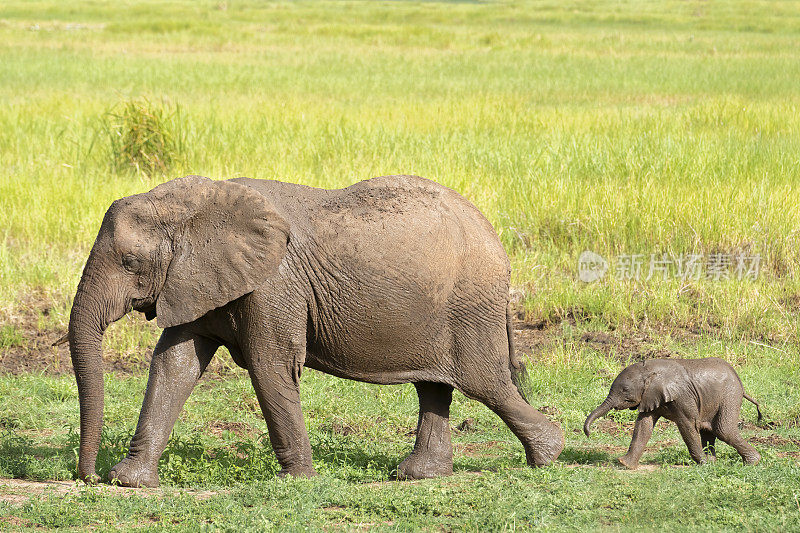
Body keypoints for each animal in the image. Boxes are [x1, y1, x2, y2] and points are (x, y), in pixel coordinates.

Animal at [69, 175, 564, 486]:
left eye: (130, 262)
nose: (87, 477)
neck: (199, 201)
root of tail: (496, 237)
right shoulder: (197, 281)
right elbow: (174, 365)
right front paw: (129, 482)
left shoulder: (273, 285)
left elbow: (270, 366)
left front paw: (296, 481)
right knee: (435, 385)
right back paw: (418, 475)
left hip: (470, 305)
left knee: (485, 382)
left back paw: (549, 455)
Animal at [580, 356, 764, 468]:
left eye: (625, 390)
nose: (589, 434)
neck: (649, 370)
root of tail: (739, 380)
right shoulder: (651, 396)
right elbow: (643, 427)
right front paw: (624, 464)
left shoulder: (682, 396)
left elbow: (688, 425)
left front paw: (702, 464)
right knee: (709, 430)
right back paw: (713, 462)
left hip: (730, 395)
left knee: (723, 429)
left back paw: (752, 462)